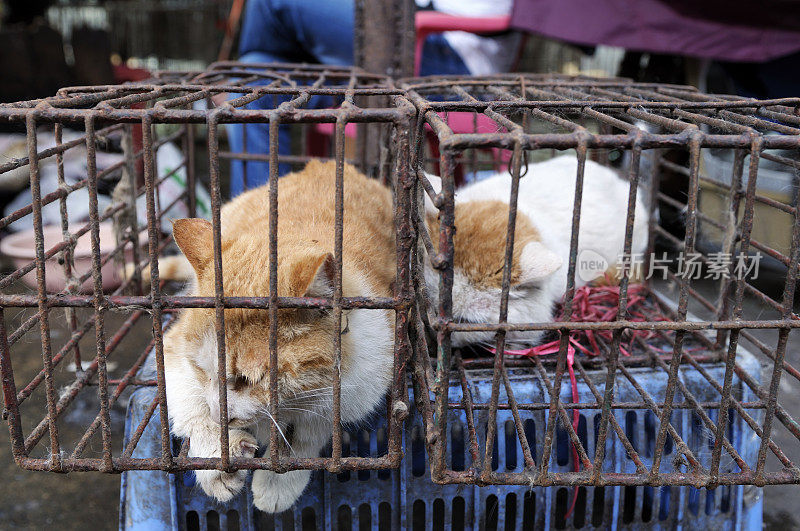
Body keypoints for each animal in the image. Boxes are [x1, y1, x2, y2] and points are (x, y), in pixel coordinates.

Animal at [163, 160, 396, 512]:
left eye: (249, 379)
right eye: (202, 369)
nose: (221, 416)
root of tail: (332, 164)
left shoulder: (365, 381)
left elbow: (311, 432)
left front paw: (279, 481)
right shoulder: (172, 349)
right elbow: (191, 404)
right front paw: (216, 457)